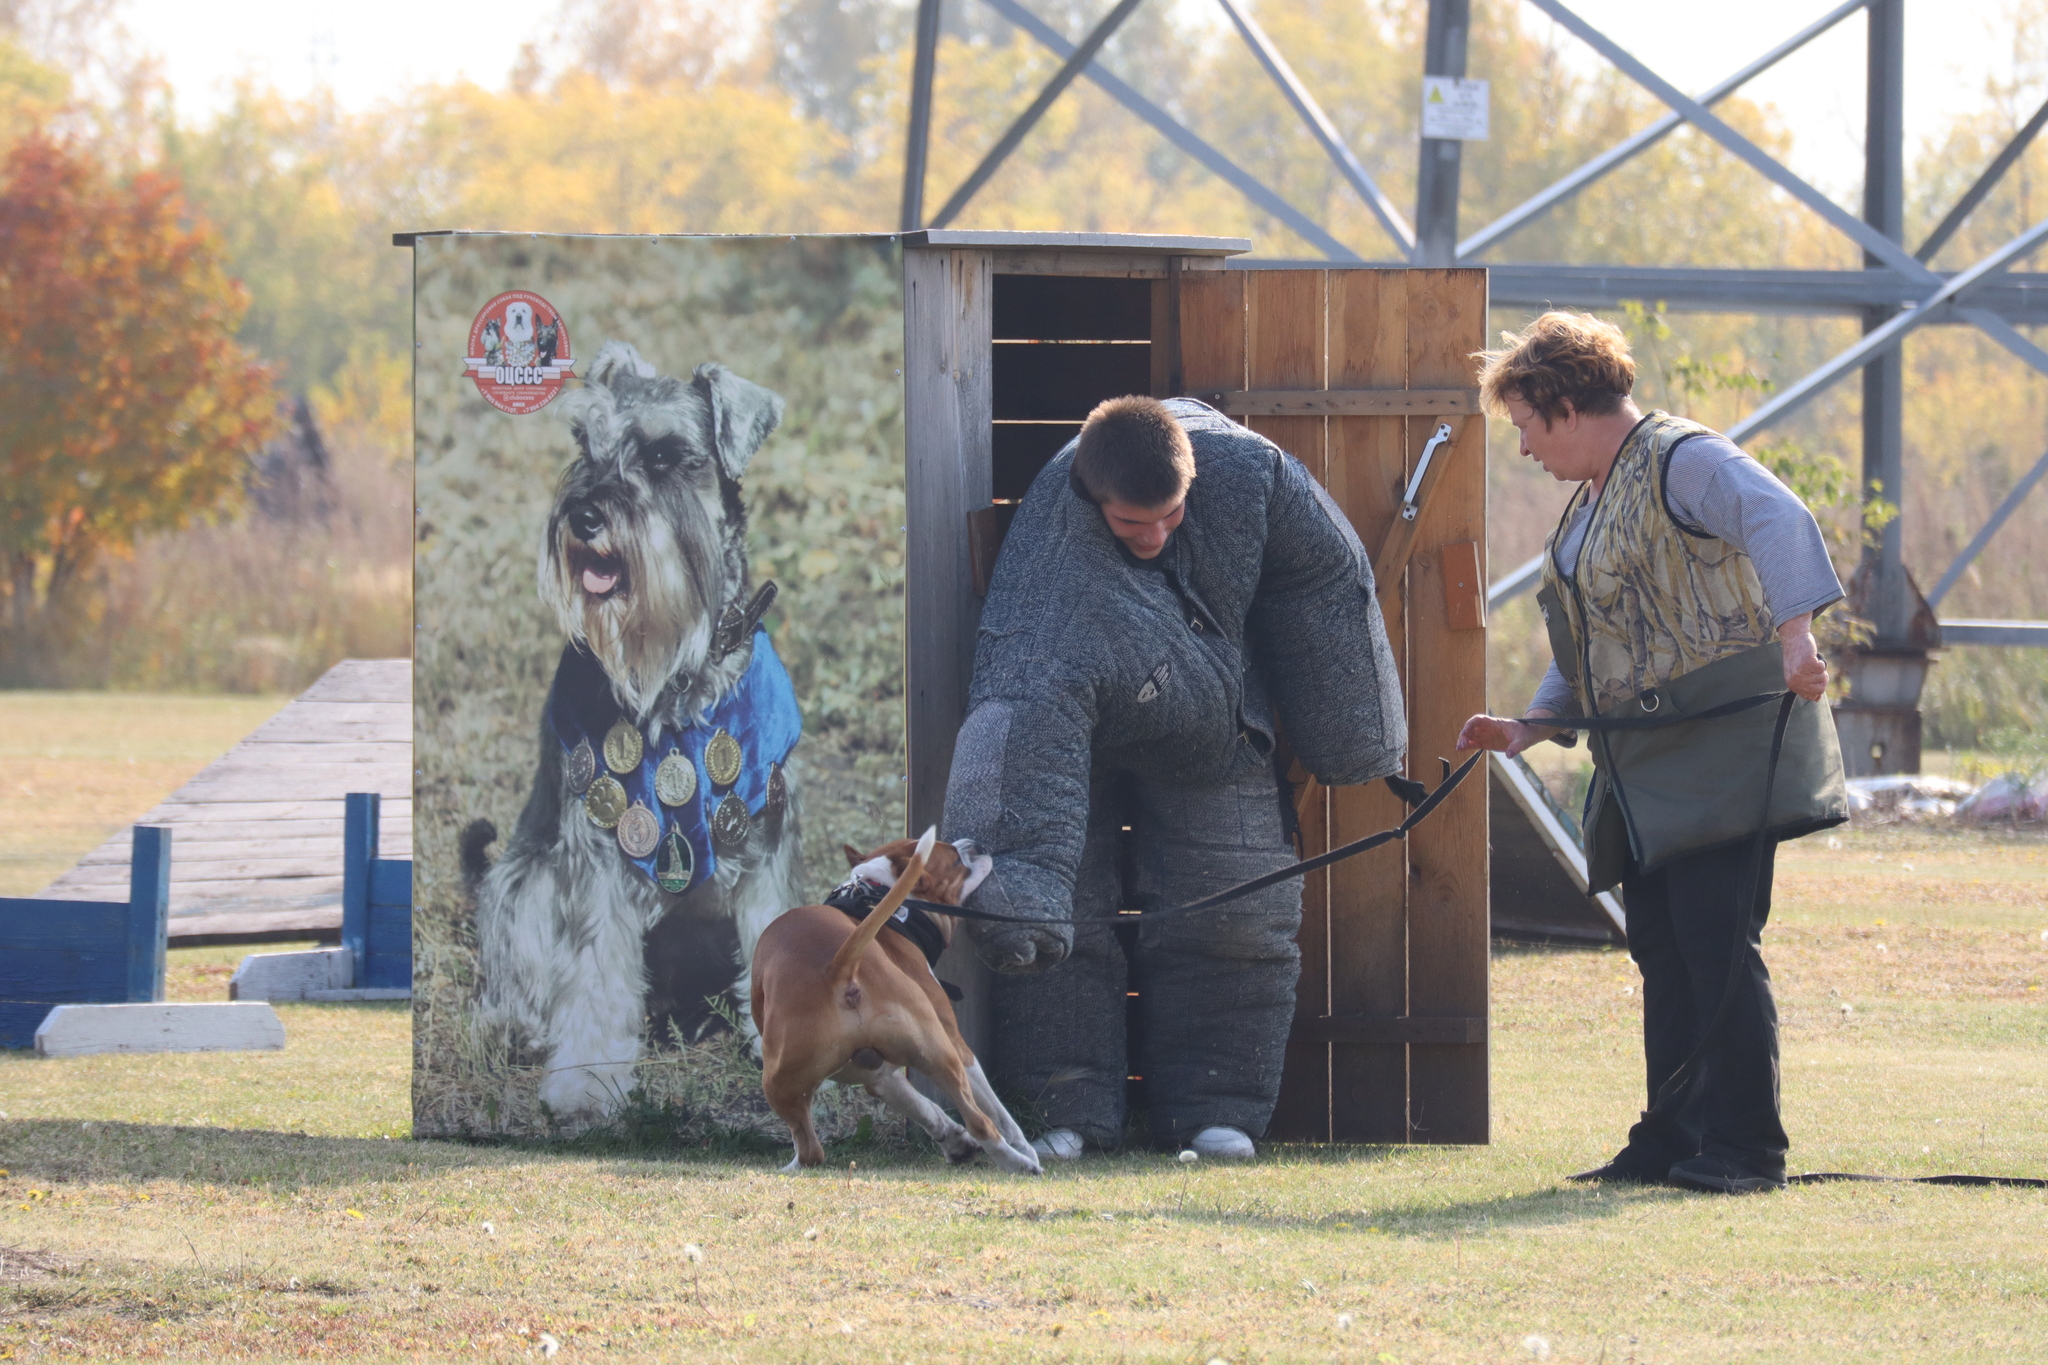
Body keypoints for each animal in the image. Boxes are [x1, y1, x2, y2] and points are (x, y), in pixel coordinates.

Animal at [749, 826, 1040, 1178]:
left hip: (784, 1085)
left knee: (810, 1151)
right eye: (955, 859)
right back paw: (1020, 1162)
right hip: (944, 1053)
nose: (976, 844)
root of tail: (837, 968)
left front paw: (959, 1142)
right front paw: (1018, 1146)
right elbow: (993, 1112)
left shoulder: (881, 1076)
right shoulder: (952, 1049)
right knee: (982, 1121)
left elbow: (924, 1107)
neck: (879, 894)